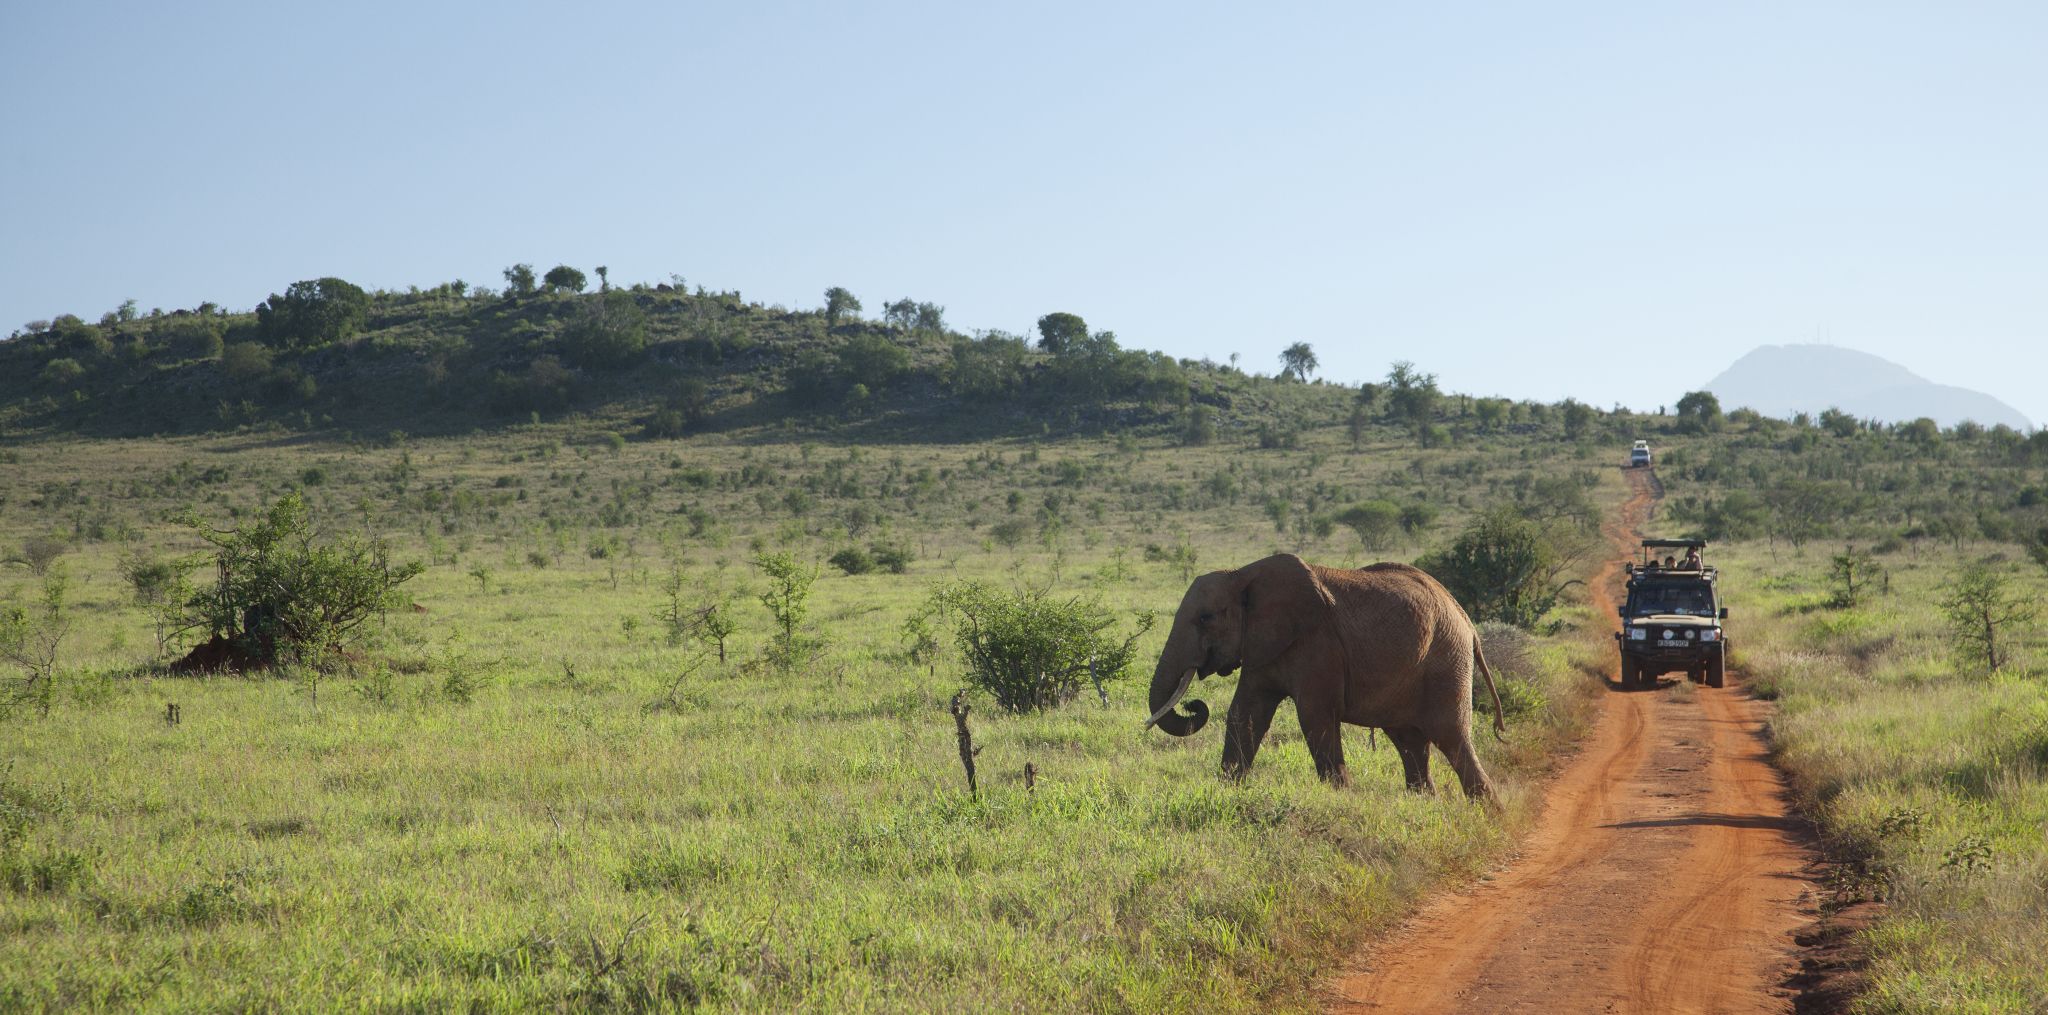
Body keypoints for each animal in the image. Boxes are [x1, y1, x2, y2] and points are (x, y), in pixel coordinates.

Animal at [1155, 552, 1507, 798]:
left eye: (1206, 618)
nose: (1193, 705)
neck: (1242, 575)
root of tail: (1467, 621)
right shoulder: (1262, 645)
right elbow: (1244, 714)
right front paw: (1228, 789)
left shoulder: (1319, 643)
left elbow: (1315, 716)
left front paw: (1341, 796)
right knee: (1410, 741)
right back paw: (1424, 803)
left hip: (1446, 661)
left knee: (1452, 737)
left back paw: (1490, 815)